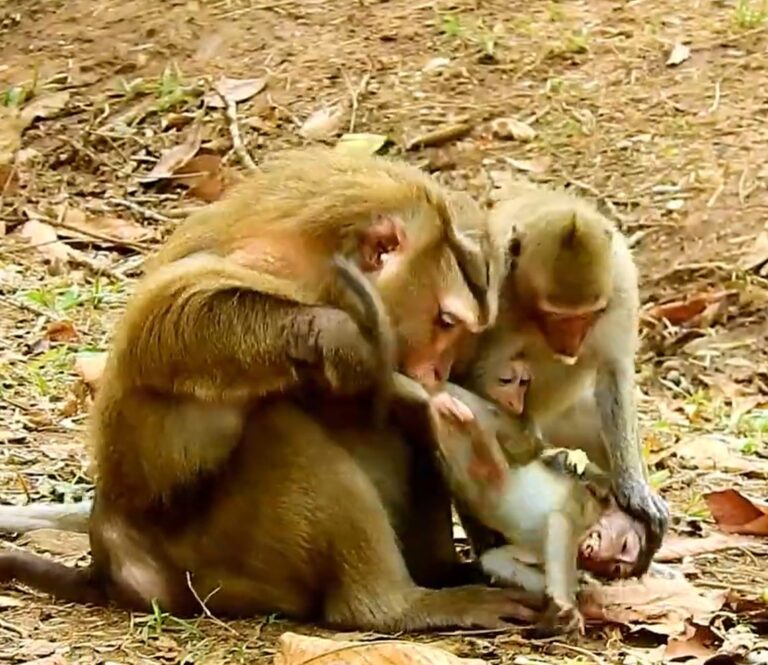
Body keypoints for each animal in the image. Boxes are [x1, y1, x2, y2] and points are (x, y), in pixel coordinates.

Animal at [451, 186, 669, 574]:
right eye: (555, 316)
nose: (571, 344)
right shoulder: (493, 295)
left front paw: (634, 490)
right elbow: (474, 380)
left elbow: (614, 372)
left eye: (588, 315)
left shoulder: (620, 288)